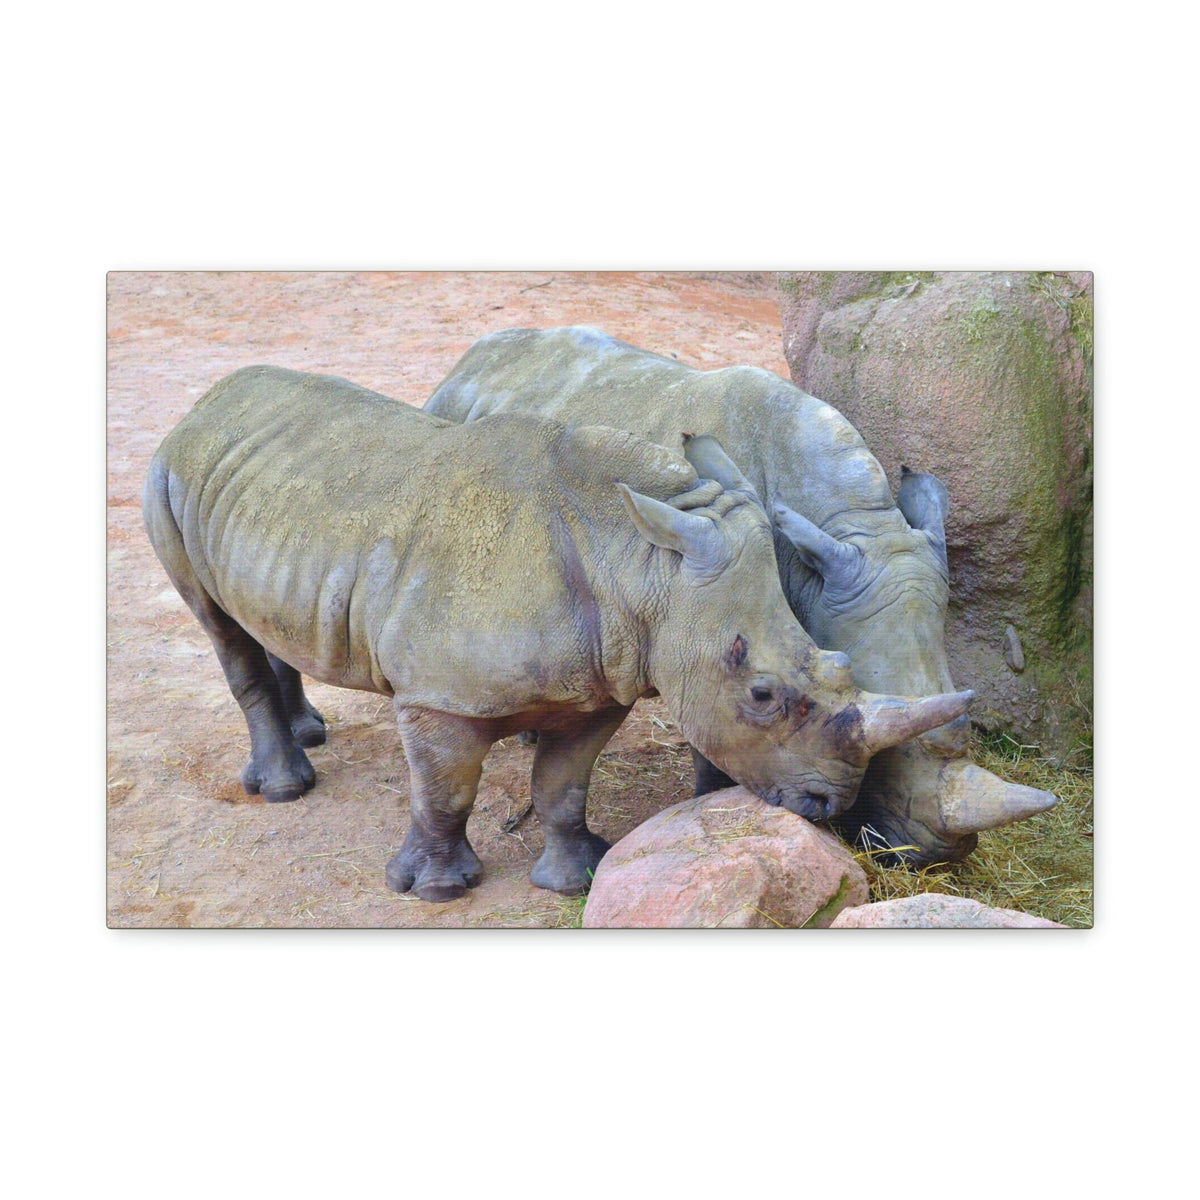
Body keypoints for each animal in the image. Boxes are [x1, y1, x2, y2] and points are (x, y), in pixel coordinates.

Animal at [143, 365, 975, 901]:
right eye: (763, 694)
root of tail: (204, 404)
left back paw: (309, 734)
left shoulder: (601, 681)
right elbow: (444, 789)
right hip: (165, 473)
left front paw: (575, 877)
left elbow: (564, 785)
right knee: (217, 625)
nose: (829, 805)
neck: (643, 563)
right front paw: (436, 891)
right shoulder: (437, 694)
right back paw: (287, 787)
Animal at [423, 325, 1058, 866]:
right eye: (889, 755)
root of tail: (470, 357)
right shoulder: (715, 614)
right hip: (454, 435)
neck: (854, 528)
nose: (931, 857)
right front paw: (714, 800)